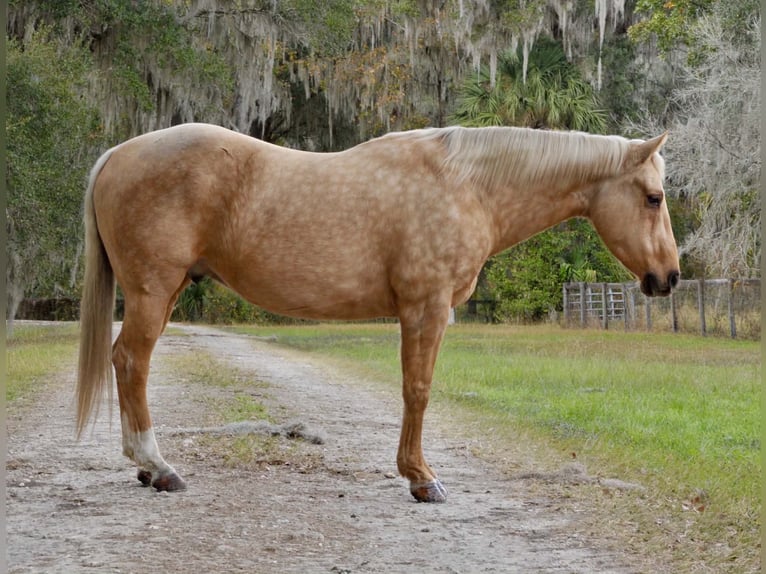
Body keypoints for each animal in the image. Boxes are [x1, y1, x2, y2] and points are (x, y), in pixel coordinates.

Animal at [76, 123, 679, 502]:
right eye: (653, 197)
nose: (669, 277)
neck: (467, 185)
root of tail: (115, 155)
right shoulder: (425, 308)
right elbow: (418, 389)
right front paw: (421, 479)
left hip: (168, 291)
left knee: (127, 362)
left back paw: (145, 468)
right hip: (154, 292)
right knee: (131, 361)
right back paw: (158, 467)